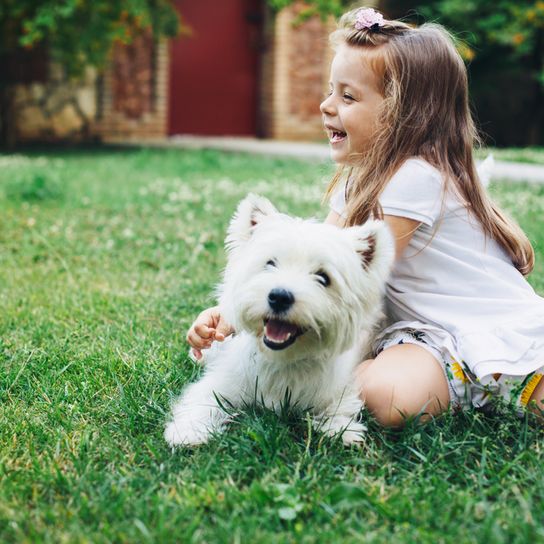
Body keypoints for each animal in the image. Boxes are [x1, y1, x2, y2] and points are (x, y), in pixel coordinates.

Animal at [164, 196, 394, 446]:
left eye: (323, 278)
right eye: (270, 263)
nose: (280, 297)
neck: (282, 359)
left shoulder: (336, 388)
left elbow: (340, 407)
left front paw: (342, 430)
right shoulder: (223, 382)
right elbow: (203, 400)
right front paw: (187, 431)